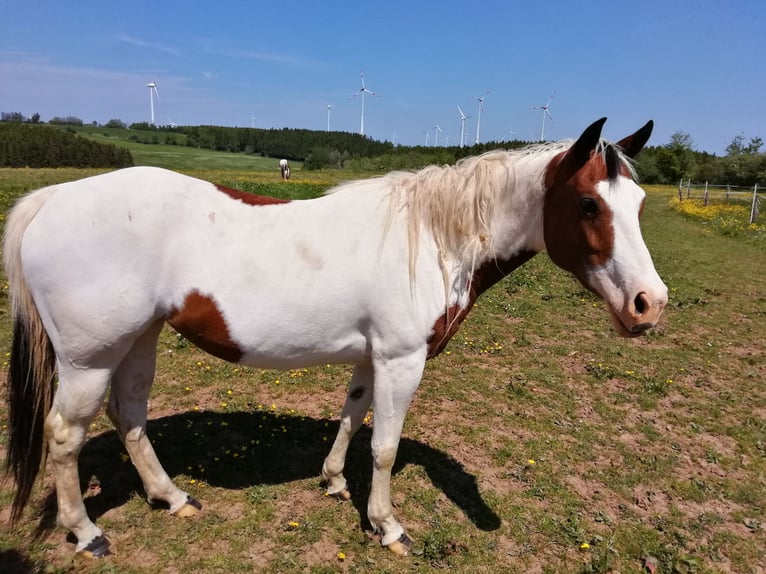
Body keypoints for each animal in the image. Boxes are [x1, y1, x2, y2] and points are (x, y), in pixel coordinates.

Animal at [4, 118, 664, 560]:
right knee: (65, 435)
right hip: (88, 359)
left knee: (131, 415)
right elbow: (386, 448)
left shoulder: (373, 357)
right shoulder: (402, 360)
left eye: (638, 203)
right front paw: (388, 526)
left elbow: (351, 417)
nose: (649, 305)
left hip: (139, 339)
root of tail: (53, 199)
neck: (431, 239)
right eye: (587, 204)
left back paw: (172, 498)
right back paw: (86, 533)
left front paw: (333, 481)